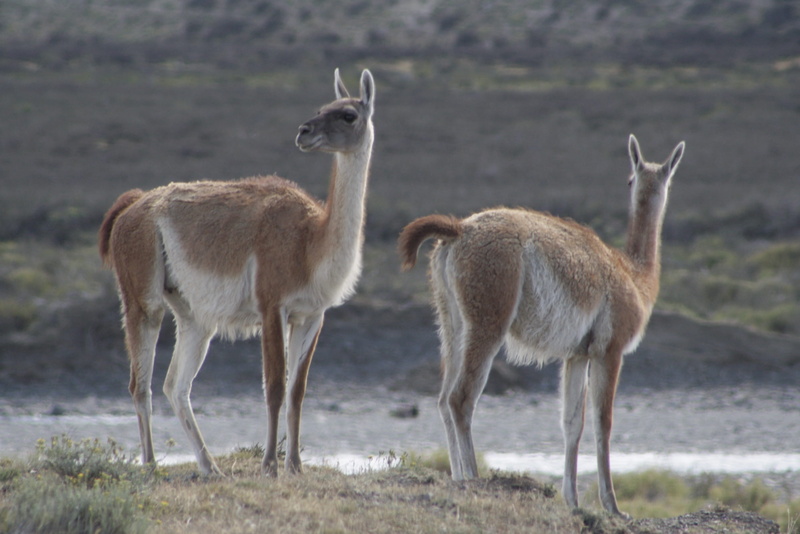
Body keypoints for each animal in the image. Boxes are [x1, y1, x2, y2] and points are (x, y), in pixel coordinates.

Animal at [98, 68, 375, 476]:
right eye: (321, 108)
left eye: (348, 115)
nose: (303, 132)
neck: (311, 244)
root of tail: (133, 204)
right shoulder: (272, 303)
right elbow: (274, 387)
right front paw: (269, 465)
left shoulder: (311, 315)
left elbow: (298, 391)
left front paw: (295, 465)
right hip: (141, 295)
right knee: (140, 384)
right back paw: (149, 463)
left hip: (193, 315)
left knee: (175, 386)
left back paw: (209, 465)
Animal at [398, 135, 685, 515]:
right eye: (632, 178)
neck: (636, 276)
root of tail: (460, 228)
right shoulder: (609, 349)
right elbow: (603, 422)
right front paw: (612, 505)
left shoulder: (577, 354)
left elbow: (571, 423)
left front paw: (572, 499)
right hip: (489, 315)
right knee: (461, 397)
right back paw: (474, 476)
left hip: (451, 320)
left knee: (444, 398)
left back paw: (458, 477)